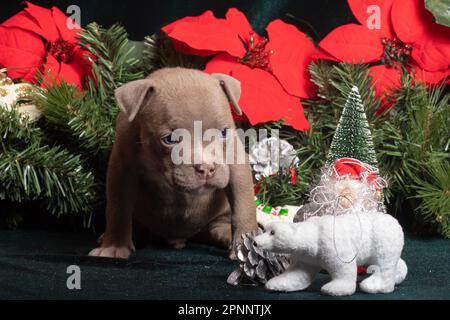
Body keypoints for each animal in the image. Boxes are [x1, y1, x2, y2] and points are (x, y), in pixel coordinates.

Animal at [89, 67, 256, 258]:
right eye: (170, 139)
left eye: (223, 132)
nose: (206, 168)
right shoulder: (122, 167)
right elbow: (118, 208)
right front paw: (114, 246)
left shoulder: (236, 162)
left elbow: (244, 206)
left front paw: (246, 247)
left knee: (218, 226)